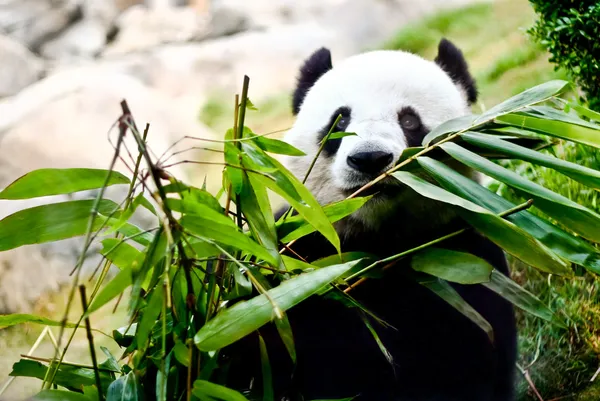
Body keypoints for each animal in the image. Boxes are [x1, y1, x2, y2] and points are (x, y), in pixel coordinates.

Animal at [224, 38, 516, 400]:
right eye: (340, 120)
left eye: (409, 121)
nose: (369, 158)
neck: (376, 241)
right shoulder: (296, 252)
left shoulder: (464, 257)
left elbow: (466, 358)